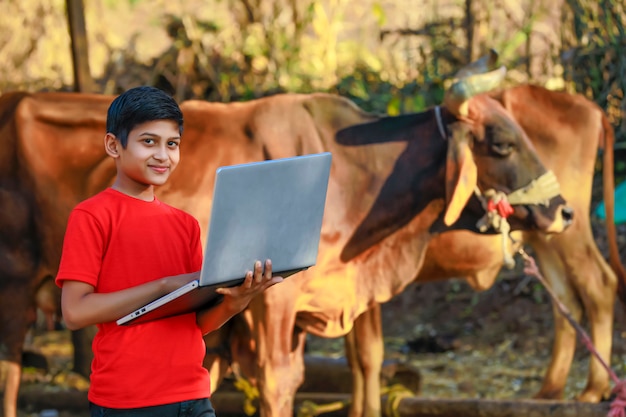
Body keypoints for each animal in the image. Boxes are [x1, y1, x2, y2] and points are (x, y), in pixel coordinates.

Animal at [0, 66, 572, 414]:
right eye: (502, 142)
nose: (564, 210)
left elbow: (345, 365)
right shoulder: (277, 306)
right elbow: (279, 379)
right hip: (15, 278)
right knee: (9, 365)